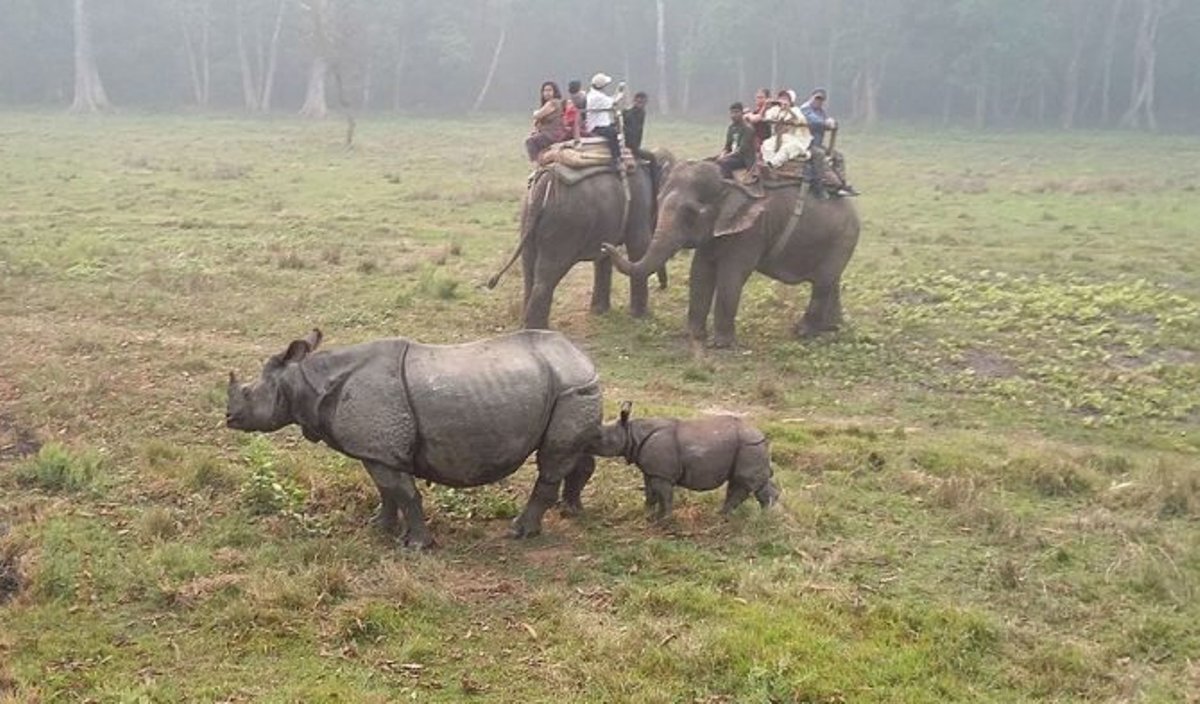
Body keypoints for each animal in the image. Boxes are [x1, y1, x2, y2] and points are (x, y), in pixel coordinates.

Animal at [225, 328, 600, 549]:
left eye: (248, 393)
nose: (229, 418)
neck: (306, 381)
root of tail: (583, 357)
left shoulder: (381, 446)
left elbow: (405, 494)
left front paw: (416, 546)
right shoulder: (378, 451)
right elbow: (387, 491)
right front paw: (380, 528)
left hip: (570, 388)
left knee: (551, 462)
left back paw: (519, 532)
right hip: (573, 388)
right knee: (576, 452)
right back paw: (571, 510)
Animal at [492, 158, 672, 328]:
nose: (663, 286)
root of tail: (544, 182)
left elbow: (604, 256)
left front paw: (599, 312)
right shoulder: (639, 203)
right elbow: (638, 245)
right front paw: (641, 317)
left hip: (527, 219)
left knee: (529, 270)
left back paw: (526, 327)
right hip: (564, 225)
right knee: (547, 275)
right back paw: (538, 330)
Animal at [604, 159, 859, 347]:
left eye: (690, 212)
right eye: (657, 200)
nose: (606, 246)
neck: (730, 184)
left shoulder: (752, 231)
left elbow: (731, 275)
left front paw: (720, 345)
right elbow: (700, 272)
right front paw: (693, 335)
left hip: (844, 239)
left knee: (823, 283)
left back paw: (802, 332)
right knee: (831, 282)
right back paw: (832, 328)